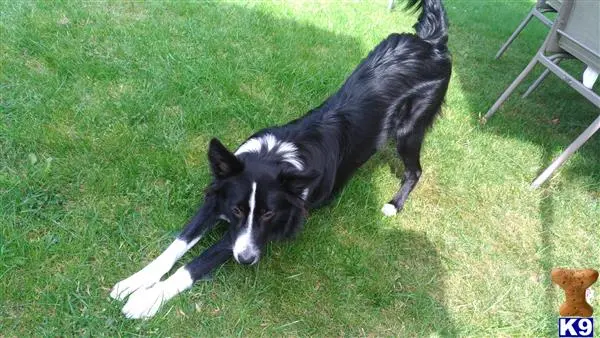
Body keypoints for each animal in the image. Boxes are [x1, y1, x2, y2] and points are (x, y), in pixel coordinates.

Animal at [111, 0, 450, 318]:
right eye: (237, 209)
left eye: (269, 214)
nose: (246, 260)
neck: (272, 156)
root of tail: (432, 42)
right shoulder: (218, 200)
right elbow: (177, 245)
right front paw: (135, 281)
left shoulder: (255, 235)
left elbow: (196, 263)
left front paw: (147, 299)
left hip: (409, 130)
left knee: (415, 170)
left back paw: (394, 204)